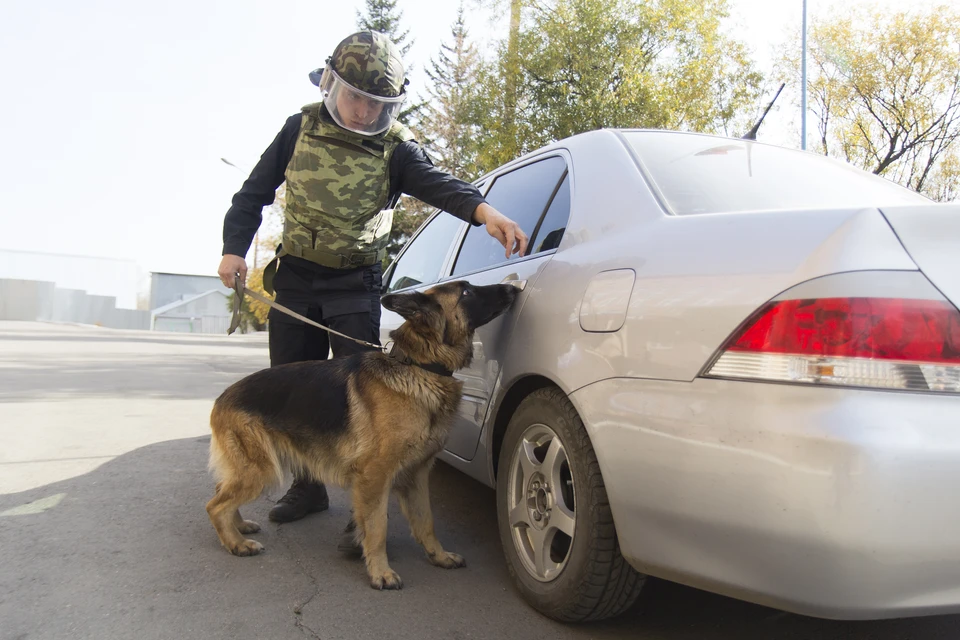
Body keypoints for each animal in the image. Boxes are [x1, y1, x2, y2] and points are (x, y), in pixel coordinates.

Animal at [204, 280, 516, 592]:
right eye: (467, 292)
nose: (512, 288)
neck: (419, 366)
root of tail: (221, 397)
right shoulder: (375, 476)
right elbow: (377, 527)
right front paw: (380, 572)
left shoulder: (416, 475)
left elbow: (426, 522)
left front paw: (438, 556)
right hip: (262, 470)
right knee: (214, 505)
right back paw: (237, 543)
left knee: (221, 491)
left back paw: (239, 527)